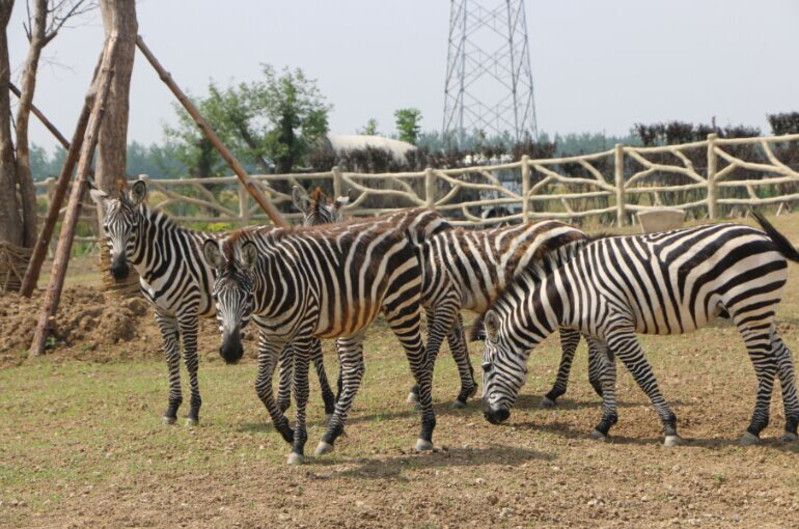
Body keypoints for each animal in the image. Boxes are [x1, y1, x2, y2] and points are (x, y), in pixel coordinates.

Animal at [200, 218, 438, 462]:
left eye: (248, 297)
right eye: (216, 297)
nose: (230, 352)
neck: (269, 299)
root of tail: (392, 227)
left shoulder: (303, 333)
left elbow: (300, 388)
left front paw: (297, 445)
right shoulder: (269, 337)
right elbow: (261, 386)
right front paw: (287, 431)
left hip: (402, 307)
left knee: (419, 363)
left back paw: (426, 432)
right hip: (355, 318)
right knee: (354, 371)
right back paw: (329, 436)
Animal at [478, 212, 796, 444]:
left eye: (486, 367)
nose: (489, 416)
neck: (572, 292)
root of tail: (763, 237)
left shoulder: (618, 328)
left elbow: (642, 375)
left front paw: (669, 427)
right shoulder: (599, 333)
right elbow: (607, 376)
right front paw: (604, 424)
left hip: (748, 307)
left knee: (765, 365)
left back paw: (754, 428)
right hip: (758, 310)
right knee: (783, 357)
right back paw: (791, 425)